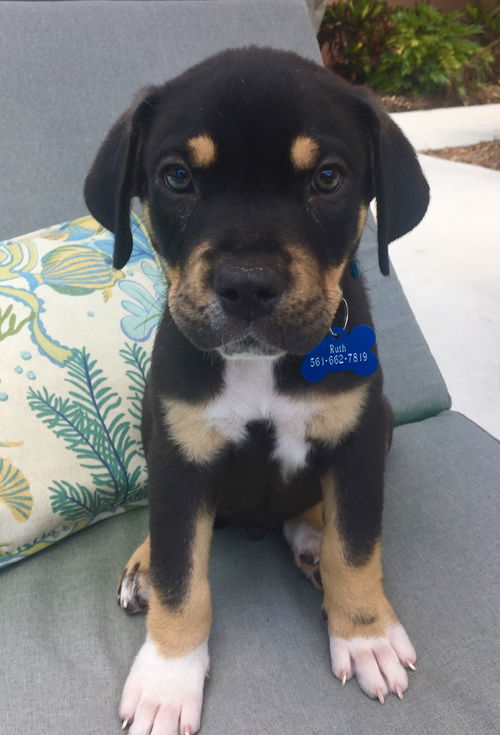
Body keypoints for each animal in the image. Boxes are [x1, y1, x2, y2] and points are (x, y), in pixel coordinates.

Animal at [85, 47, 430, 735]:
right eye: (177, 177)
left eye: (327, 177)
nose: (247, 285)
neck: (261, 367)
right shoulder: (179, 456)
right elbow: (181, 576)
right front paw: (168, 677)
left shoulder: (357, 444)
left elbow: (357, 547)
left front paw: (366, 636)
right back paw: (144, 564)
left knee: (317, 518)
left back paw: (311, 541)